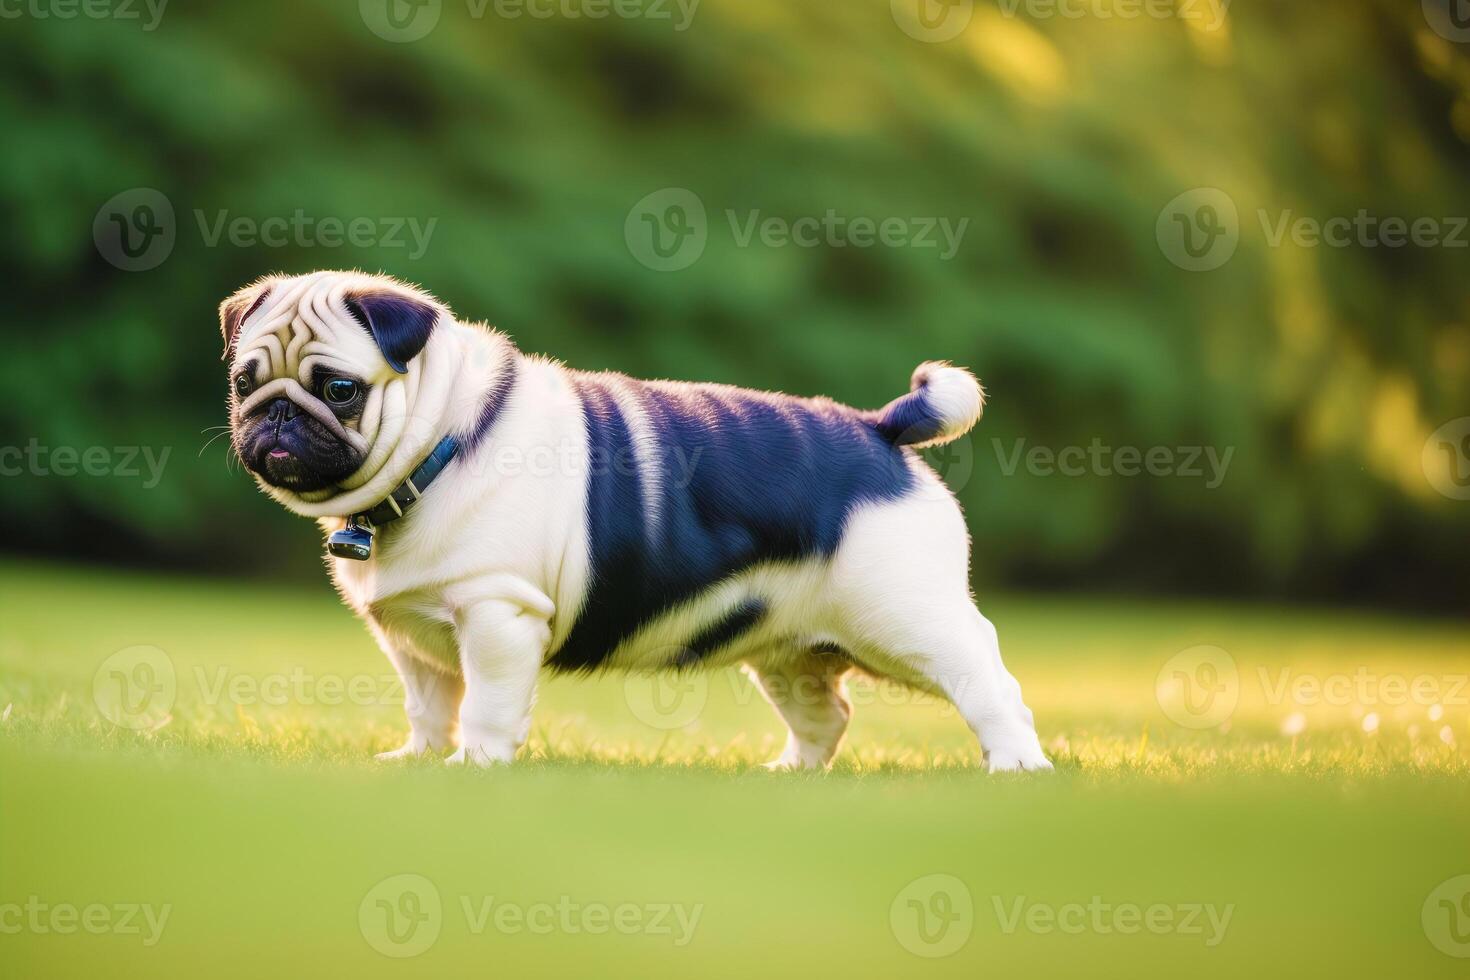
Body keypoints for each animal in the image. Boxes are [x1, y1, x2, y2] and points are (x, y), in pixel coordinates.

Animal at [223, 270, 1052, 775]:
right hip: (791, 650)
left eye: (340, 389)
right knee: (827, 712)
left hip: (907, 619)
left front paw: (477, 765)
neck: (444, 444)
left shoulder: (497, 615)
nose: (277, 417)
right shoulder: (414, 640)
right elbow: (430, 704)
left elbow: (485, 703)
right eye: (244, 382)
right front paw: (422, 760)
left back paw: (1017, 764)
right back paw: (790, 775)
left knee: (989, 684)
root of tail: (881, 429)